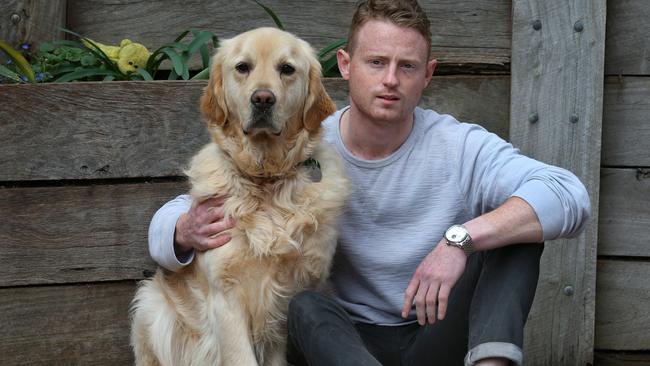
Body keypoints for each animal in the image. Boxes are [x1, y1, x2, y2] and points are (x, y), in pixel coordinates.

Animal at [128, 28, 346, 366]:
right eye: (243, 67)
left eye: (287, 69)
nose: (263, 99)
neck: (265, 180)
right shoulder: (226, 296)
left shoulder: (290, 297)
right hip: (150, 306)